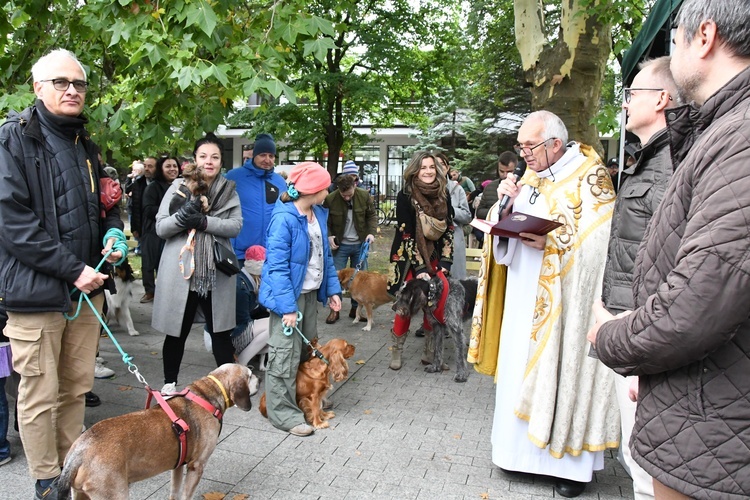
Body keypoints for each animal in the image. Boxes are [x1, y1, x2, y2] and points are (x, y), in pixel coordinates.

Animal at [58, 364, 258, 500]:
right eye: (250, 375)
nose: (260, 379)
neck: (205, 394)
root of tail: (79, 452)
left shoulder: (178, 466)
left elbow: (175, 492)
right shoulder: (196, 466)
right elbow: (186, 495)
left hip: (79, 494)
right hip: (114, 494)